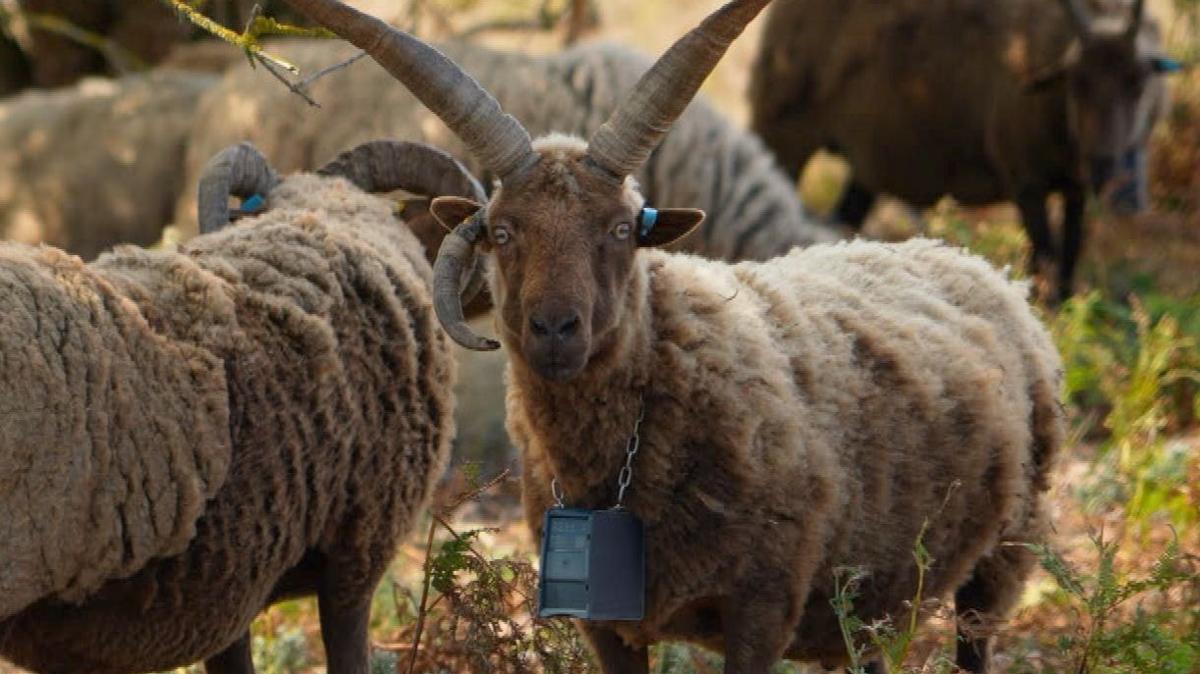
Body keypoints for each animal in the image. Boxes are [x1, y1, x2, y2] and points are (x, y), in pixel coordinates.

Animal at [278, 0, 1066, 671]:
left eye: (623, 228)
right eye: (501, 231)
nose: (555, 330)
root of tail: (971, 262)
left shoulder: (762, 608)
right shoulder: (607, 625)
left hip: (1002, 557)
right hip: (874, 598)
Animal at [748, 0, 1180, 301]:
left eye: (1139, 80)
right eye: (1077, 81)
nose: (1108, 171)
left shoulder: (1074, 189)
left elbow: (1068, 262)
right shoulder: (1025, 182)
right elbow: (1043, 261)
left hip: (864, 164)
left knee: (844, 220)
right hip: (783, 132)